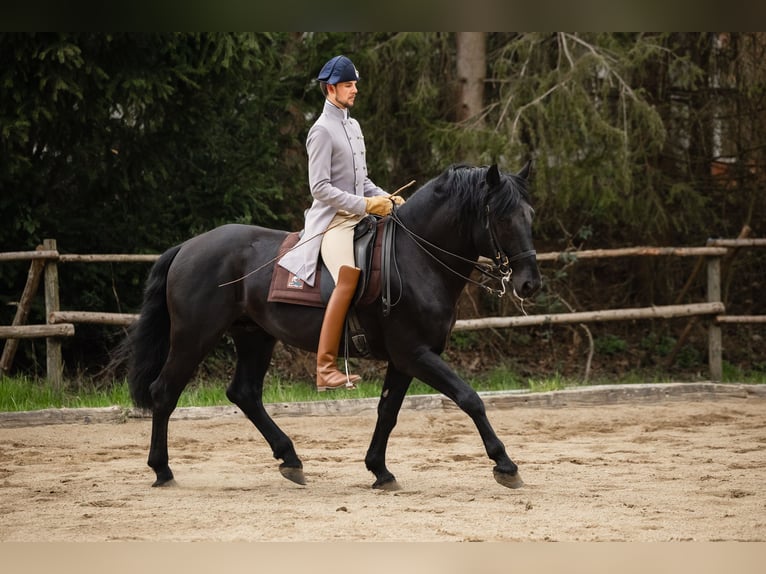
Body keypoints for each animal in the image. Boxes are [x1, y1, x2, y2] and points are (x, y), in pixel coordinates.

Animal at [123, 162, 544, 490]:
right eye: (502, 217)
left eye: (530, 215)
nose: (530, 284)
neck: (417, 258)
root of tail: (188, 246)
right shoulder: (416, 353)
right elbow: (469, 398)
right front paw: (505, 465)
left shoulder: (406, 358)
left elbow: (387, 411)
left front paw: (379, 470)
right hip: (194, 336)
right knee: (164, 392)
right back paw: (162, 470)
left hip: (255, 336)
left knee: (244, 393)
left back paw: (291, 459)